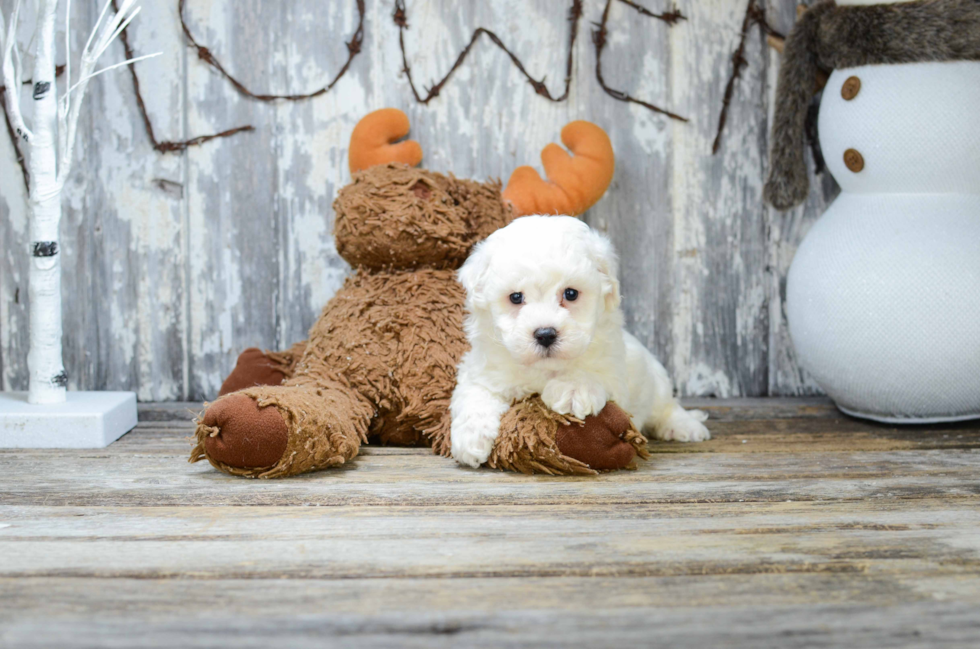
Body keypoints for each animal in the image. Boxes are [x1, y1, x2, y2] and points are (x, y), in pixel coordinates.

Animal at [448, 215, 708, 468]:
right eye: (515, 297)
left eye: (570, 294)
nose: (545, 334)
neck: (545, 369)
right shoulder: (480, 371)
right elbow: (474, 394)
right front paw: (471, 438)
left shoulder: (613, 370)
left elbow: (590, 372)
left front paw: (573, 389)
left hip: (656, 378)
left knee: (666, 407)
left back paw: (686, 426)